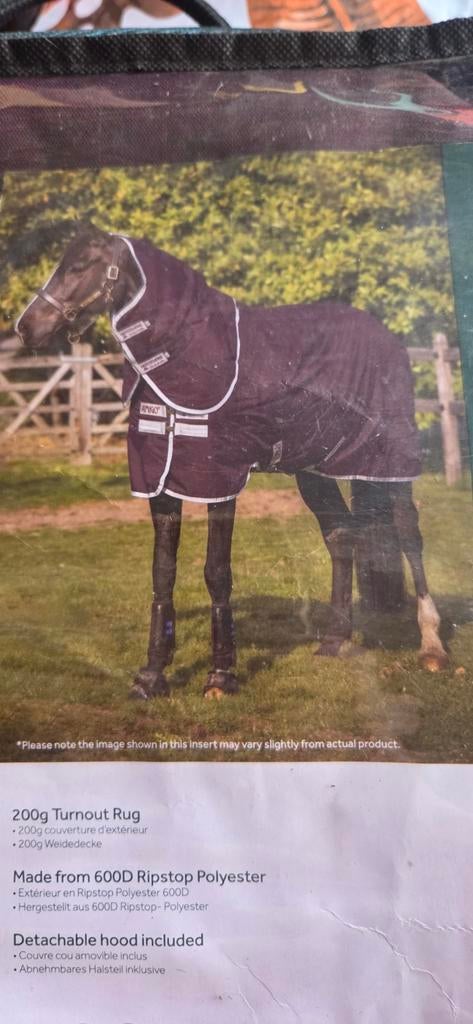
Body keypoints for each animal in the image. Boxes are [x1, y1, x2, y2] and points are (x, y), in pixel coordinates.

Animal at [15, 223, 448, 699]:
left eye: (80, 266)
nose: (26, 327)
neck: (181, 354)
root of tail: (390, 341)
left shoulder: (217, 482)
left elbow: (216, 572)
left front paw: (221, 676)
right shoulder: (160, 484)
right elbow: (162, 573)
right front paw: (152, 675)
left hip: (390, 466)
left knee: (409, 535)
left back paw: (432, 646)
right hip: (315, 471)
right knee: (341, 536)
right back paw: (335, 641)